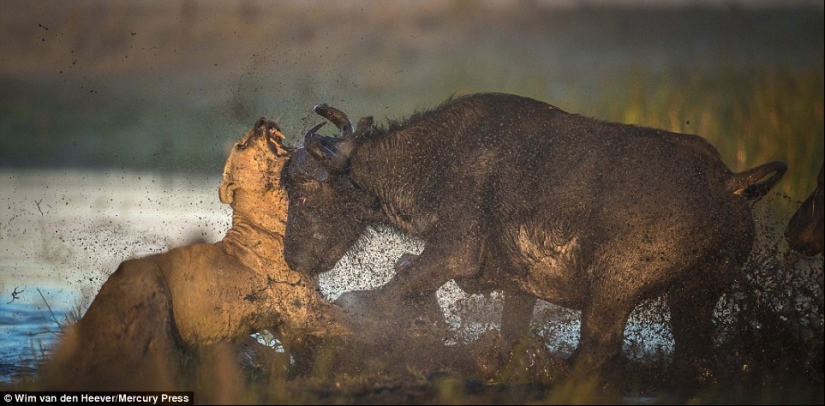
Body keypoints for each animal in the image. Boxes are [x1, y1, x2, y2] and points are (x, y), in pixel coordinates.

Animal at [41, 116, 348, 390]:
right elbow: (346, 323)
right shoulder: (301, 307)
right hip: (146, 284)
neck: (278, 209)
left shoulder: (290, 317)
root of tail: (82, 327)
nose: (261, 121)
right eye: (241, 144)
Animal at [282, 93, 784, 386]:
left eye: (302, 193)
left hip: (614, 290)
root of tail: (726, 182)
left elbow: (392, 291)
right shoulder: (517, 287)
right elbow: (509, 335)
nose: (291, 258)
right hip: (698, 292)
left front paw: (354, 316)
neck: (438, 160)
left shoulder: (452, 253)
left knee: (599, 348)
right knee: (695, 355)